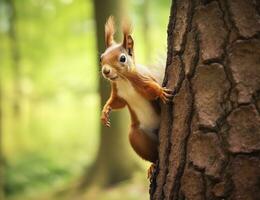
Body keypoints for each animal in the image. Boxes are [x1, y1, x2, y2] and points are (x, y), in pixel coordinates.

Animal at [100, 16, 172, 167]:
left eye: (122, 58)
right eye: (101, 58)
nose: (106, 71)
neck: (123, 80)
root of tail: (156, 130)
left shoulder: (142, 80)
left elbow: (152, 89)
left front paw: (161, 92)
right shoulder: (117, 92)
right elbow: (116, 103)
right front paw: (105, 112)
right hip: (137, 135)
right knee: (152, 152)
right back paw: (153, 164)